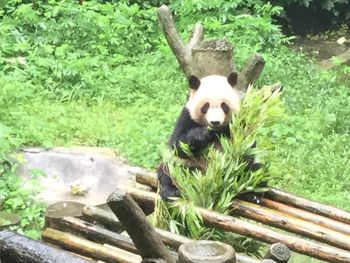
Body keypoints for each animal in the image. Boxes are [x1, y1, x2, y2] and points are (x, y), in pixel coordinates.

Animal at [157, 72, 262, 200]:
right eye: (205, 106)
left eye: (224, 106)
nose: (215, 122)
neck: (216, 131)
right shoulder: (187, 116)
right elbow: (177, 144)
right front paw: (201, 135)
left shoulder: (239, 121)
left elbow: (247, 146)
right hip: (185, 166)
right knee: (170, 170)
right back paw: (171, 191)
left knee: (255, 171)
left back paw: (253, 194)